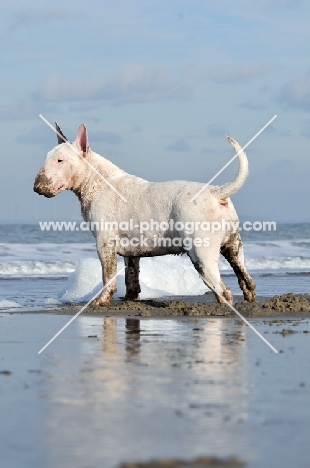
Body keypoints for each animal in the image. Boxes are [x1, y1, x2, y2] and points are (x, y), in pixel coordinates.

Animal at [34, 124, 256, 306]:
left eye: (60, 160)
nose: (36, 187)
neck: (97, 181)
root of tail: (215, 192)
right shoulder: (131, 250)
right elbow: (131, 276)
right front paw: (130, 298)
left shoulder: (104, 242)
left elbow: (108, 275)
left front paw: (101, 301)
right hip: (233, 244)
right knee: (246, 278)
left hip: (201, 252)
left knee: (223, 290)